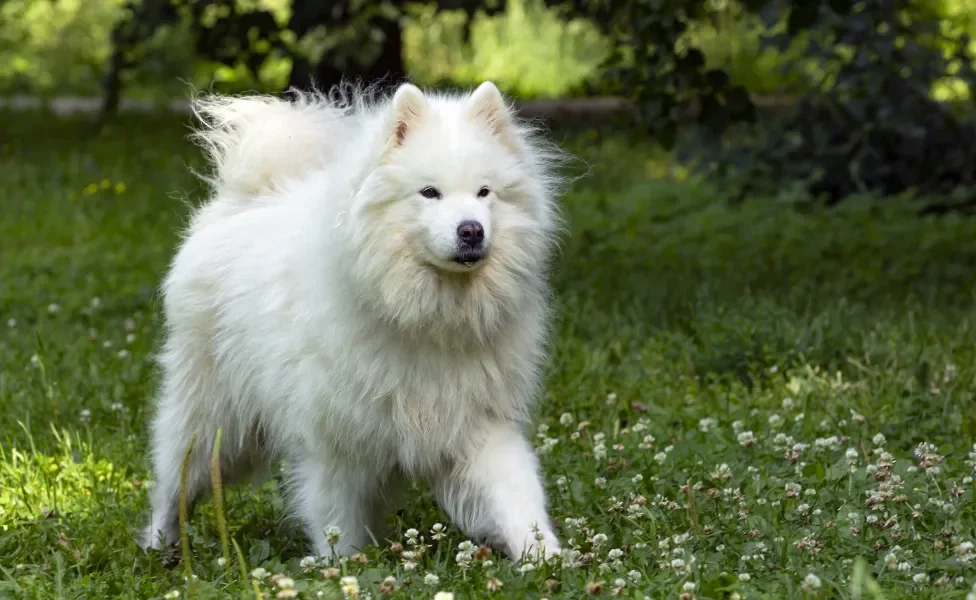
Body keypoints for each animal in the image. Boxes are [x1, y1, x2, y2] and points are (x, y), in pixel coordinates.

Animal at [137, 81, 564, 564]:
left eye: (485, 192)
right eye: (429, 193)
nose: (471, 230)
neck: (425, 316)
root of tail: (244, 199)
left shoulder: (479, 423)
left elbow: (516, 494)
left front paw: (545, 555)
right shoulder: (336, 444)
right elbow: (336, 518)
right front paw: (340, 569)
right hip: (213, 422)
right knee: (174, 485)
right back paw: (160, 544)